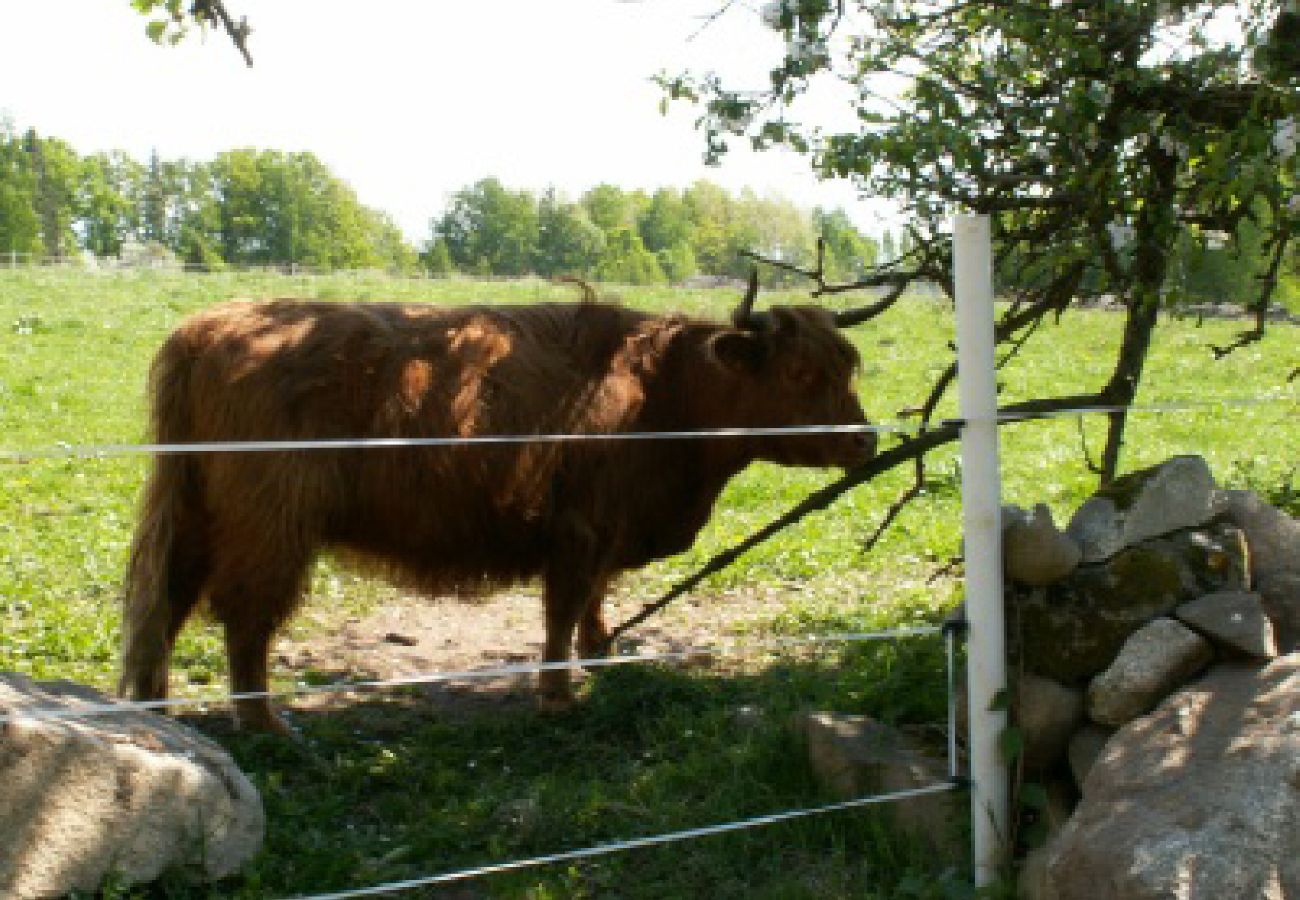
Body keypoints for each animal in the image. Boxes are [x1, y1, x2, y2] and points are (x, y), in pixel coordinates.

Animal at [122, 279, 873, 733]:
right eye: (801, 372)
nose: (864, 440)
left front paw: (601, 654)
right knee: (245, 615)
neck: (668, 397)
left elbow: (595, 598)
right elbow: (563, 608)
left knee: (169, 601)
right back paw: (264, 723)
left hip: (198, 514)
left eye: (849, 366)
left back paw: (157, 711)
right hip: (271, 525)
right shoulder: (580, 528)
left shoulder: (606, 528)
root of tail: (208, 326)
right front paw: (557, 694)